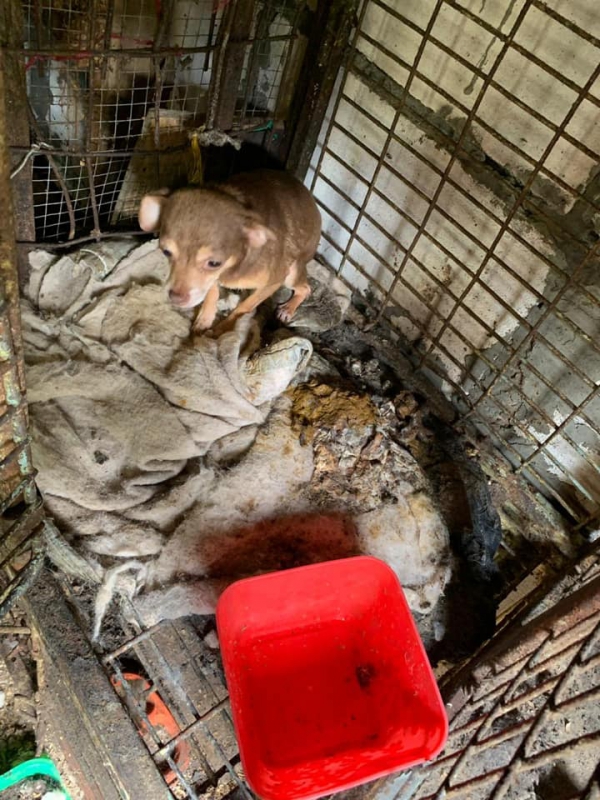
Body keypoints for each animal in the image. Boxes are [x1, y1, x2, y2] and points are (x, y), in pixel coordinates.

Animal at [138, 169, 321, 335]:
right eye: (166, 252)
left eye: (214, 263)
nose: (175, 298)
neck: (232, 266)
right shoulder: (213, 280)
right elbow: (212, 290)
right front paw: (205, 318)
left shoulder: (274, 281)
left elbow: (244, 307)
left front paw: (224, 328)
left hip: (292, 272)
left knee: (305, 288)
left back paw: (288, 308)